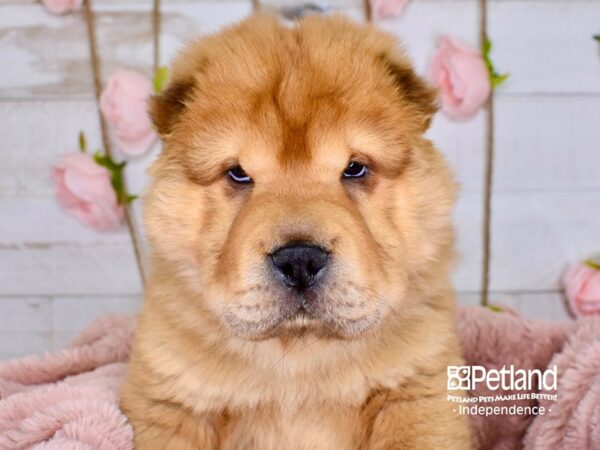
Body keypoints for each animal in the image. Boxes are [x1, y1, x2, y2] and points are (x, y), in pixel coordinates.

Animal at [120, 12, 474, 448]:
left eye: (355, 168)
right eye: (238, 174)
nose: (300, 259)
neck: (298, 358)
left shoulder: (414, 390)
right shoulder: (171, 402)